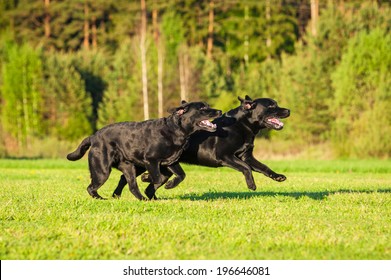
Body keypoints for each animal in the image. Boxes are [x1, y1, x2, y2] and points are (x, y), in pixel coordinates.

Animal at [66, 100, 222, 199]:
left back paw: (139, 198)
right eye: (202, 109)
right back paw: (101, 199)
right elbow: (158, 177)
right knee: (91, 187)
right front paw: (147, 178)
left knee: (131, 185)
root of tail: (93, 137)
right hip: (102, 170)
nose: (219, 111)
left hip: (128, 167)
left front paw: (169, 185)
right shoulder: (151, 160)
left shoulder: (171, 161)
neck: (175, 131)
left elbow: (181, 175)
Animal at [113, 96, 290, 199]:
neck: (241, 126)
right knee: (125, 178)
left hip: (164, 168)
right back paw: (118, 194)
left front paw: (277, 176)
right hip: (144, 163)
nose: (288, 110)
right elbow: (246, 168)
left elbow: (263, 166)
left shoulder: (247, 155)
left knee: (152, 186)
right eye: (271, 106)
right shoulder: (225, 156)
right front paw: (251, 185)